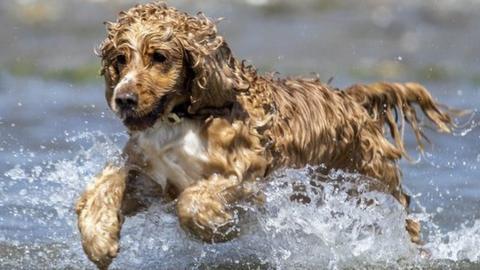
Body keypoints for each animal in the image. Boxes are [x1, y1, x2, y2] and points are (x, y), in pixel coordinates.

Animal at [75, 1, 454, 268]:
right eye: (120, 59)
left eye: (159, 57)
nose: (123, 99)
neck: (180, 120)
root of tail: (350, 98)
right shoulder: (151, 177)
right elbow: (105, 184)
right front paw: (98, 240)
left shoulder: (247, 171)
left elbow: (193, 202)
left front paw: (219, 226)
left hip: (371, 187)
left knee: (406, 225)